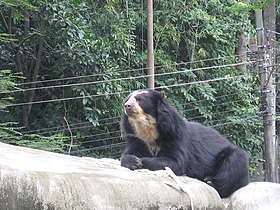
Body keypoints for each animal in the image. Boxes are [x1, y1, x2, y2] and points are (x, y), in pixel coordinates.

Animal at [120, 89, 249, 199]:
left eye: (140, 99)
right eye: (128, 99)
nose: (127, 106)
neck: (148, 130)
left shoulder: (175, 135)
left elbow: (174, 162)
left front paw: (140, 161)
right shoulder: (136, 138)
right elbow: (127, 154)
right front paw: (132, 160)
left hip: (232, 158)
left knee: (234, 161)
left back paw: (210, 181)